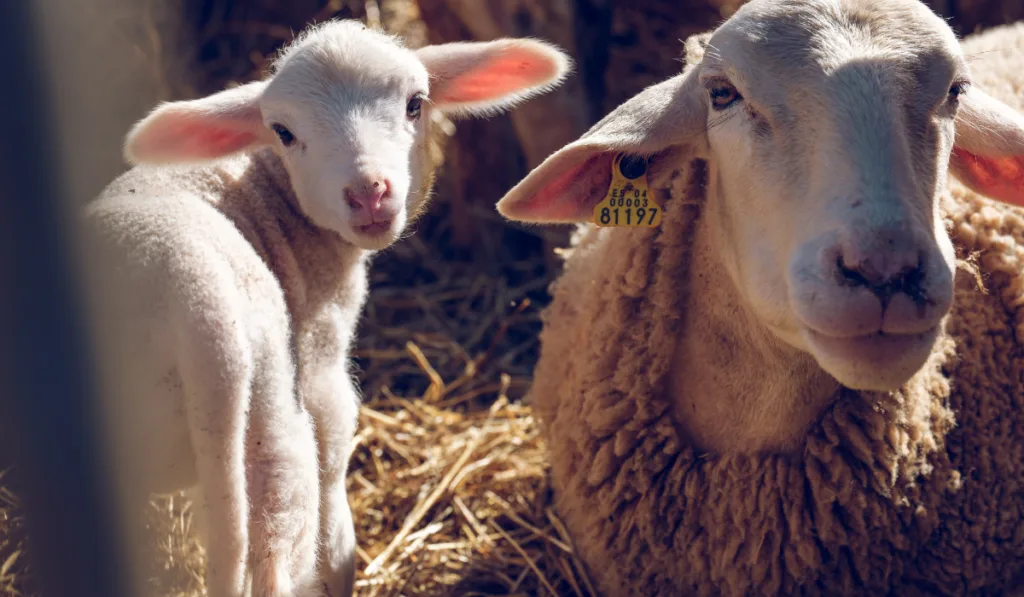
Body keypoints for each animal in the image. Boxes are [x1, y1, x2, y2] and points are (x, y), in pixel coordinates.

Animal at [81, 19, 569, 597]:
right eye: (284, 132)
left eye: (415, 103)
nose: (368, 193)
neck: (262, 182)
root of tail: (192, 308)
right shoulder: (322, 375)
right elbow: (335, 522)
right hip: (273, 433)